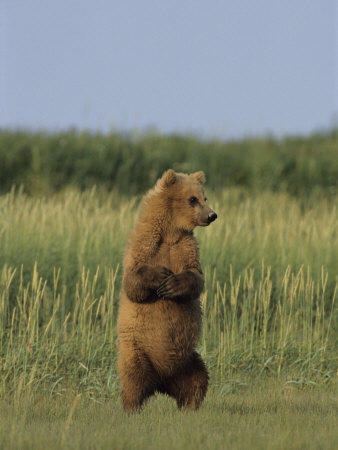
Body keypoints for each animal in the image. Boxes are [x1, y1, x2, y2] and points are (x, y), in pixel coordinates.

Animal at [117, 169, 217, 412]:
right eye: (192, 199)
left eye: (204, 197)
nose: (212, 215)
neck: (170, 232)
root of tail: (161, 381)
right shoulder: (144, 244)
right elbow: (132, 281)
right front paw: (161, 276)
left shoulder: (186, 247)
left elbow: (196, 277)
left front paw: (173, 285)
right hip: (137, 350)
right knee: (132, 379)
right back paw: (131, 408)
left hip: (188, 360)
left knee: (198, 379)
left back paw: (190, 406)